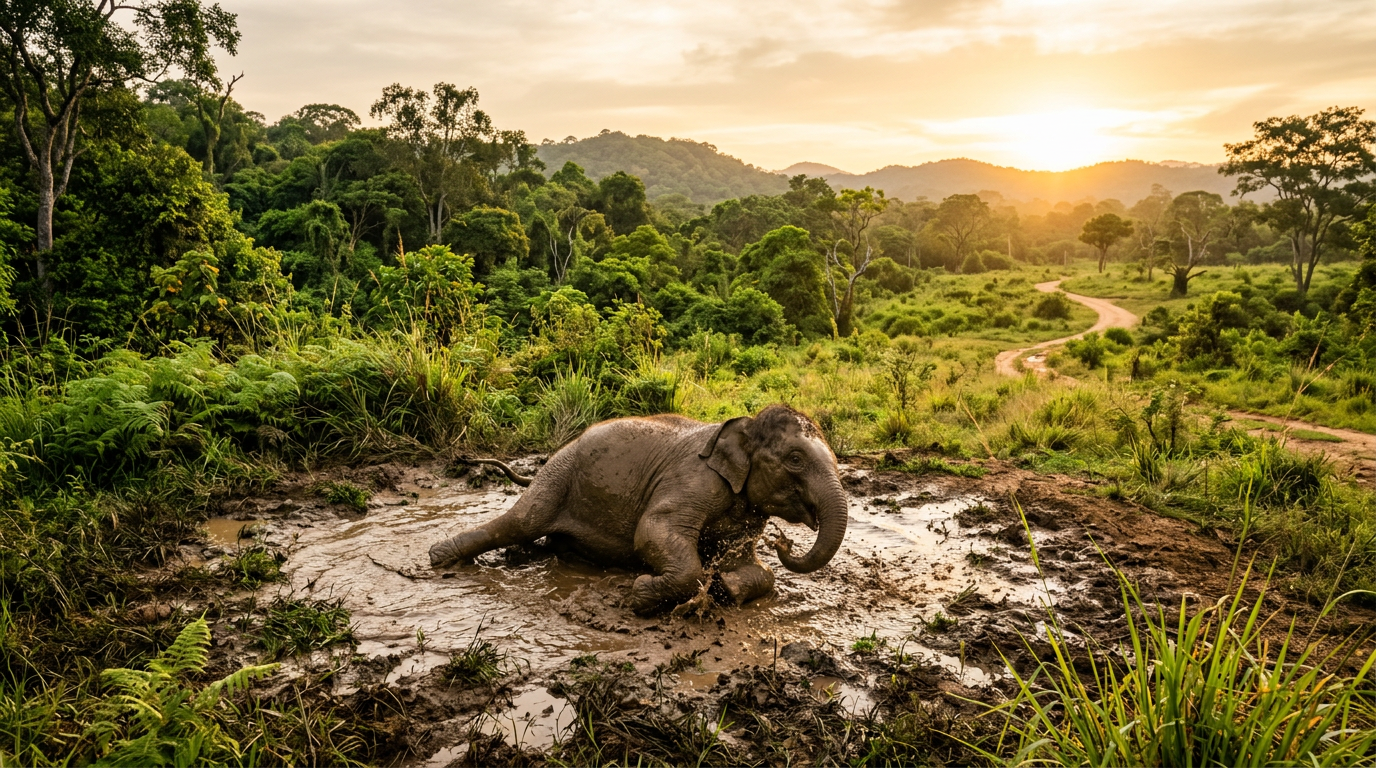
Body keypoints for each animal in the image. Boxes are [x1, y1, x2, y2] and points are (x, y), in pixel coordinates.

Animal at [428, 404, 849, 614]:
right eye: (795, 459)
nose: (784, 543)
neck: (744, 425)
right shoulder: (694, 478)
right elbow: (653, 529)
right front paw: (640, 594)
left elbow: (753, 567)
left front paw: (724, 587)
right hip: (559, 473)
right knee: (522, 521)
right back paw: (439, 558)